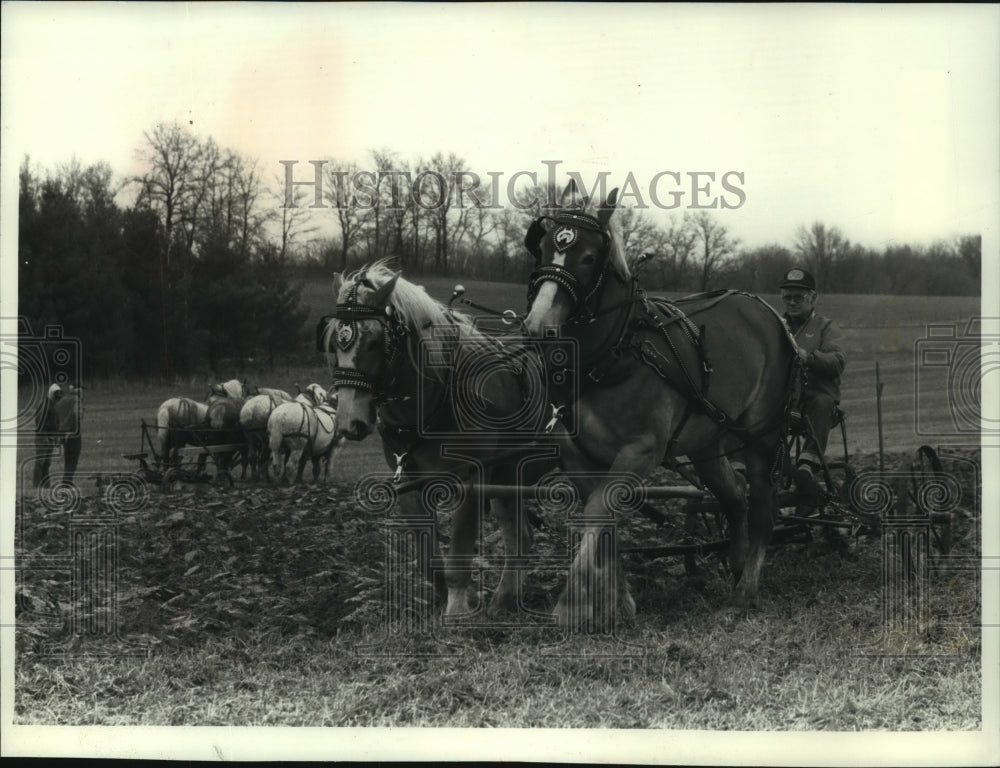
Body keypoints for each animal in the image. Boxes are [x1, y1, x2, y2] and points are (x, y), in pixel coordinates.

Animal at [524, 183, 796, 628]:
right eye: (543, 246)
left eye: (588, 257)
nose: (538, 326)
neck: (613, 355)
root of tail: (768, 312)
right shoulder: (578, 457)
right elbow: (602, 517)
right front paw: (619, 602)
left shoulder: (641, 451)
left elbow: (598, 513)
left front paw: (573, 603)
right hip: (707, 442)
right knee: (734, 496)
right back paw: (737, 566)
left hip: (763, 438)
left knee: (762, 506)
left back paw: (745, 591)